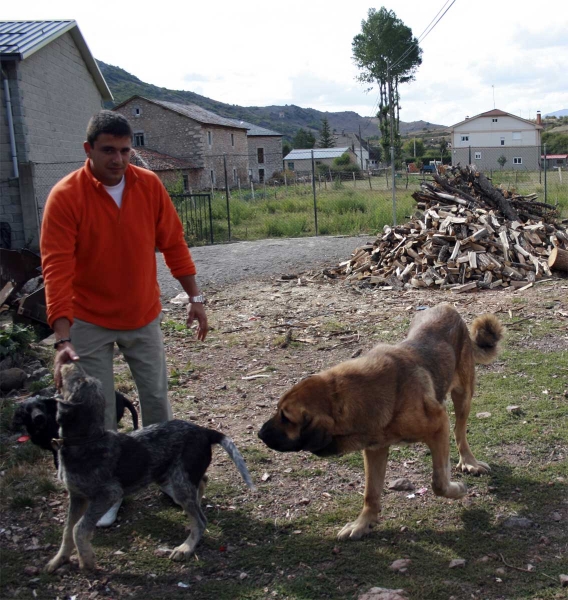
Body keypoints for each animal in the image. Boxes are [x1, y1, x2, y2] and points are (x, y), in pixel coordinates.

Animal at [45, 360, 254, 572]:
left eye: (79, 380)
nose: (68, 360)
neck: (85, 441)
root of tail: (204, 431)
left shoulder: (107, 494)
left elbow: (78, 529)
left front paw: (86, 561)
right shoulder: (77, 496)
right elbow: (67, 530)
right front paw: (59, 559)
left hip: (179, 481)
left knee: (201, 521)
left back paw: (186, 548)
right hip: (173, 475)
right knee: (202, 482)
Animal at [260, 302, 504, 540]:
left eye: (285, 417)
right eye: (278, 410)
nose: (259, 434)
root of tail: (448, 307)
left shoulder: (438, 425)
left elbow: (439, 482)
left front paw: (458, 490)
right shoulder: (375, 448)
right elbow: (371, 492)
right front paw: (363, 523)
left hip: (463, 395)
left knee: (460, 432)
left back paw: (469, 461)